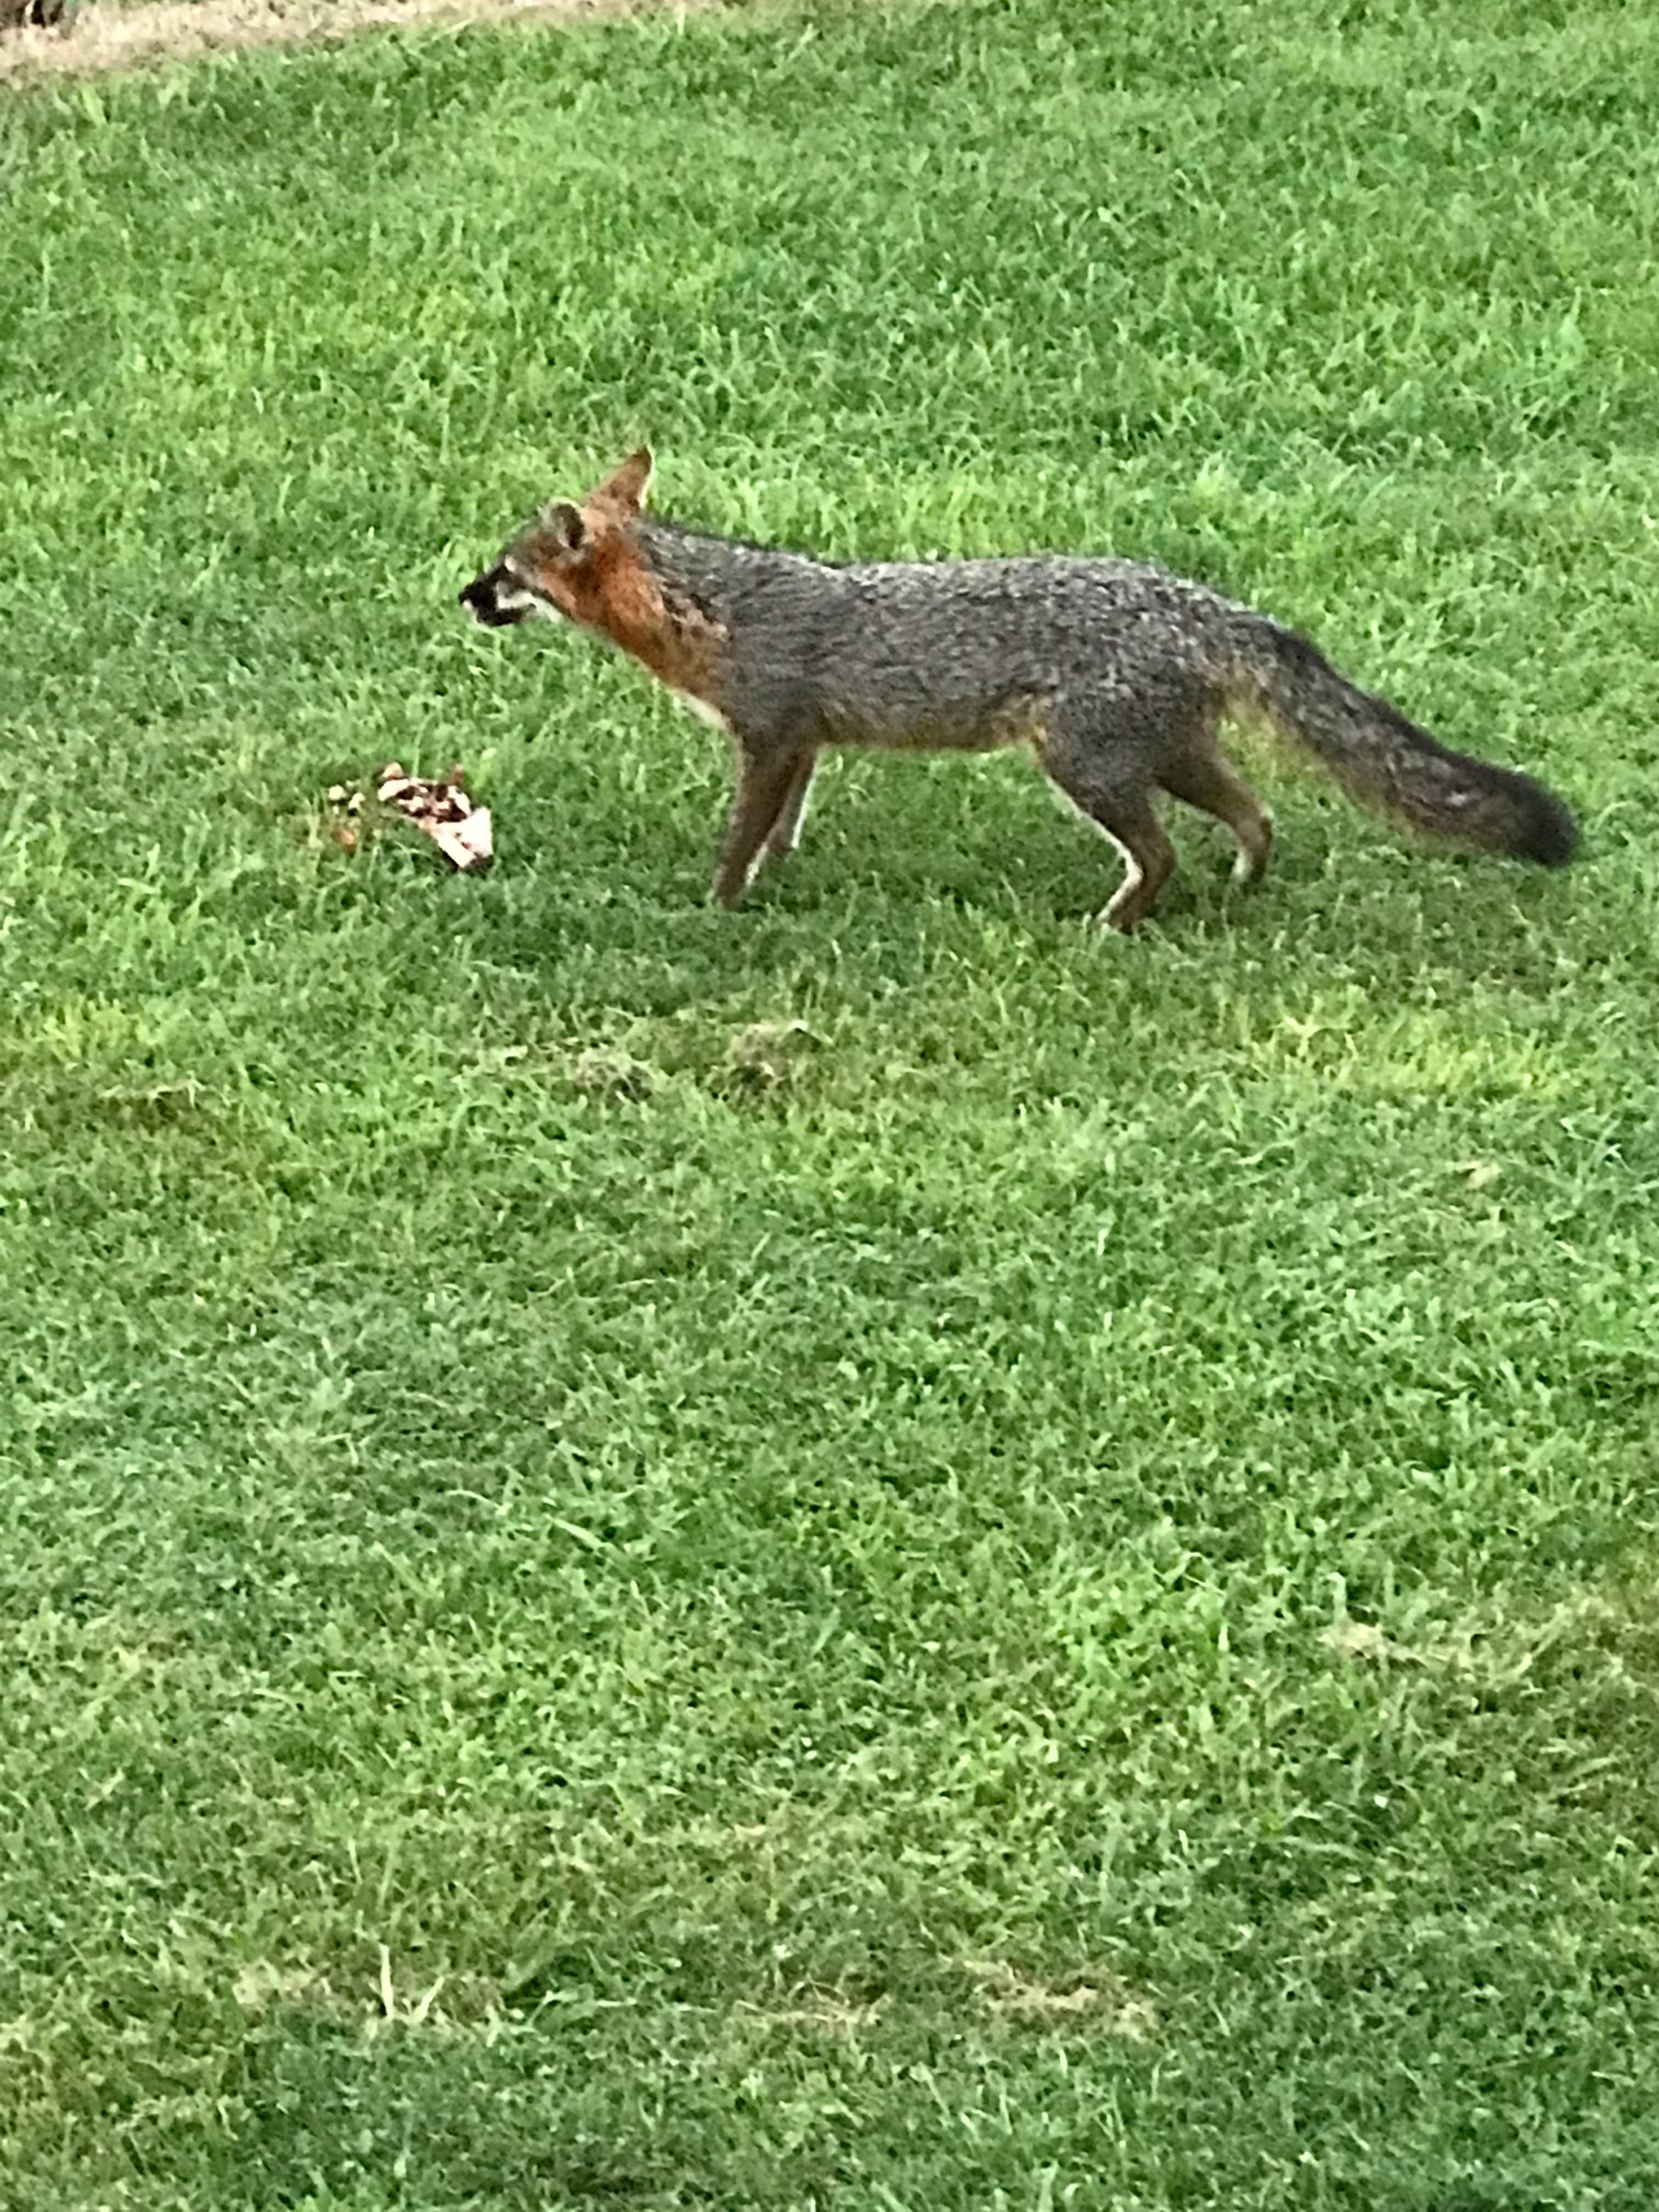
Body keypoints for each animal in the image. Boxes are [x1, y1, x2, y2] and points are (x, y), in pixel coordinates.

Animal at [460, 449, 1578, 930]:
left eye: (504, 574)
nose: (460, 595)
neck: (705, 606)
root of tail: (1199, 600)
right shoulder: (805, 745)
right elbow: (781, 829)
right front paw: (772, 881)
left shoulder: (769, 735)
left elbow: (741, 836)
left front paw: (719, 908)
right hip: (1167, 756)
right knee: (1256, 815)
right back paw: (1238, 891)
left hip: (1083, 766)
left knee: (1164, 851)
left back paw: (1112, 925)